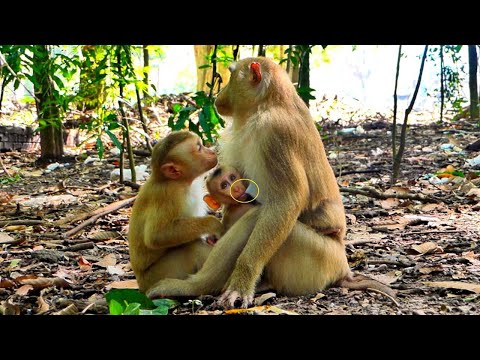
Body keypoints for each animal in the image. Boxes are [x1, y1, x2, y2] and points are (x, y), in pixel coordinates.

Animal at [128, 131, 224, 294]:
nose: (212, 152)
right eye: (199, 148)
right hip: (160, 274)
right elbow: (156, 236)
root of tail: (141, 285)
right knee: (192, 247)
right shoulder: (168, 194)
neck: (181, 182)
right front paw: (214, 225)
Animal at [148, 57, 396, 306]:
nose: (220, 94)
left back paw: (199, 286)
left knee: (257, 216)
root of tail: (344, 270)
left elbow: (285, 202)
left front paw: (242, 282)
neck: (270, 103)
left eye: (231, 76)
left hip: (317, 262)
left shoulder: (274, 132)